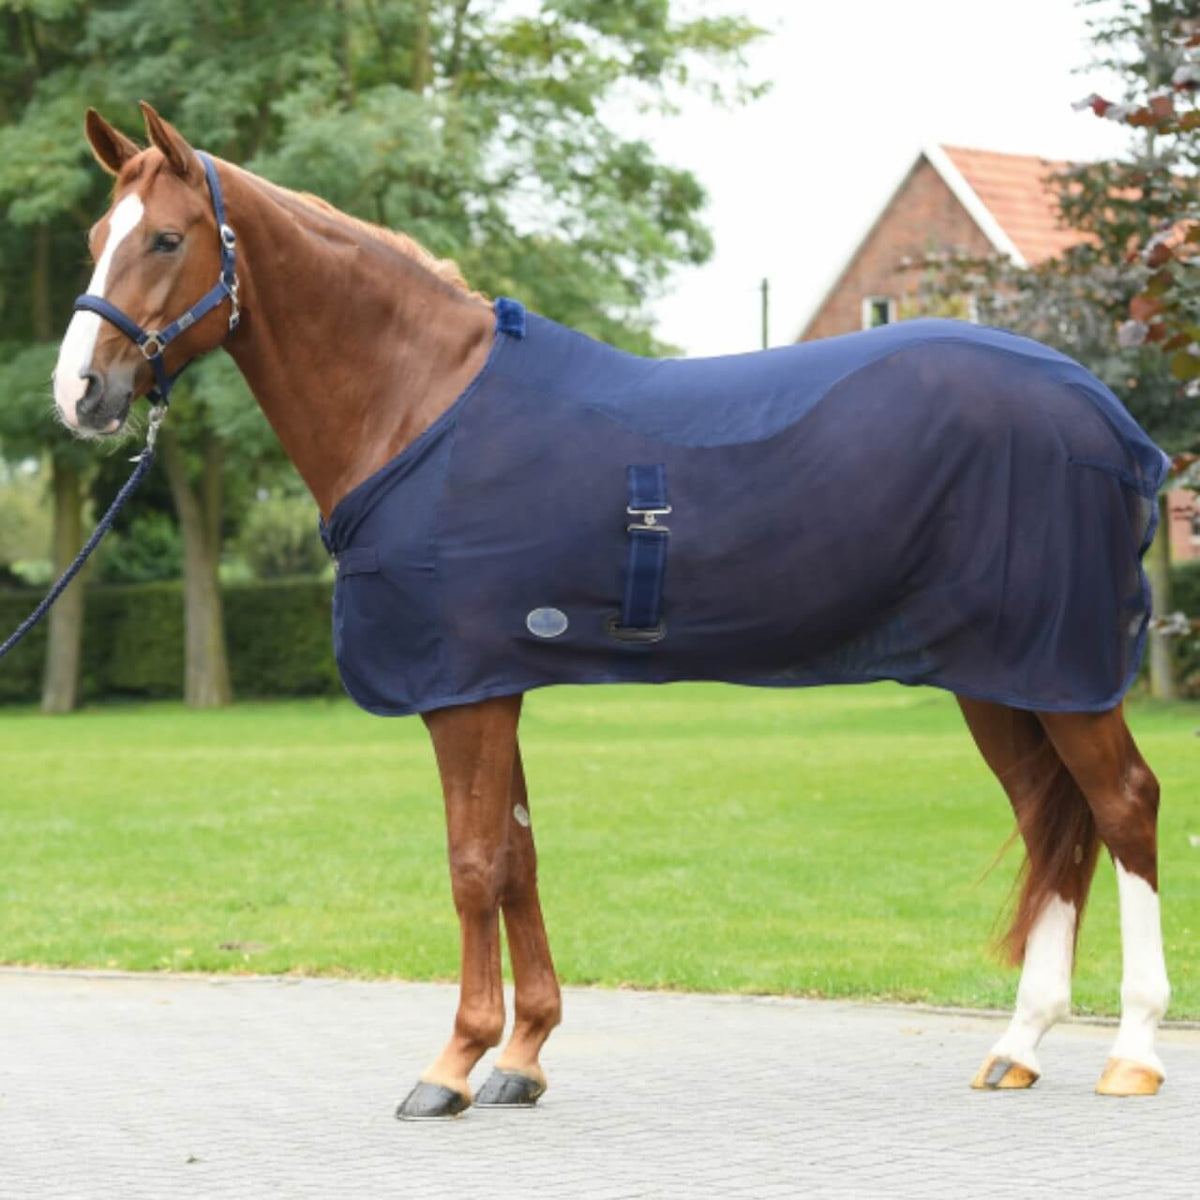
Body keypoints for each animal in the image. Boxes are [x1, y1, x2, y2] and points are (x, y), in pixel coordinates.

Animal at [51, 103, 1171, 1117]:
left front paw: (452, 1063)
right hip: (1001, 675)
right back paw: (1018, 1045)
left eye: (166, 238)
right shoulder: (496, 681)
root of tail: (1111, 422)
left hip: (1064, 670)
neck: (420, 402)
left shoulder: (460, 691)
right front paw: (523, 1056)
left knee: (1123, 807)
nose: (79, 393)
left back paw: (1133, 1052)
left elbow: (473, 865)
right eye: (97, 237)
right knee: (1048, 820)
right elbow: (520, 857)